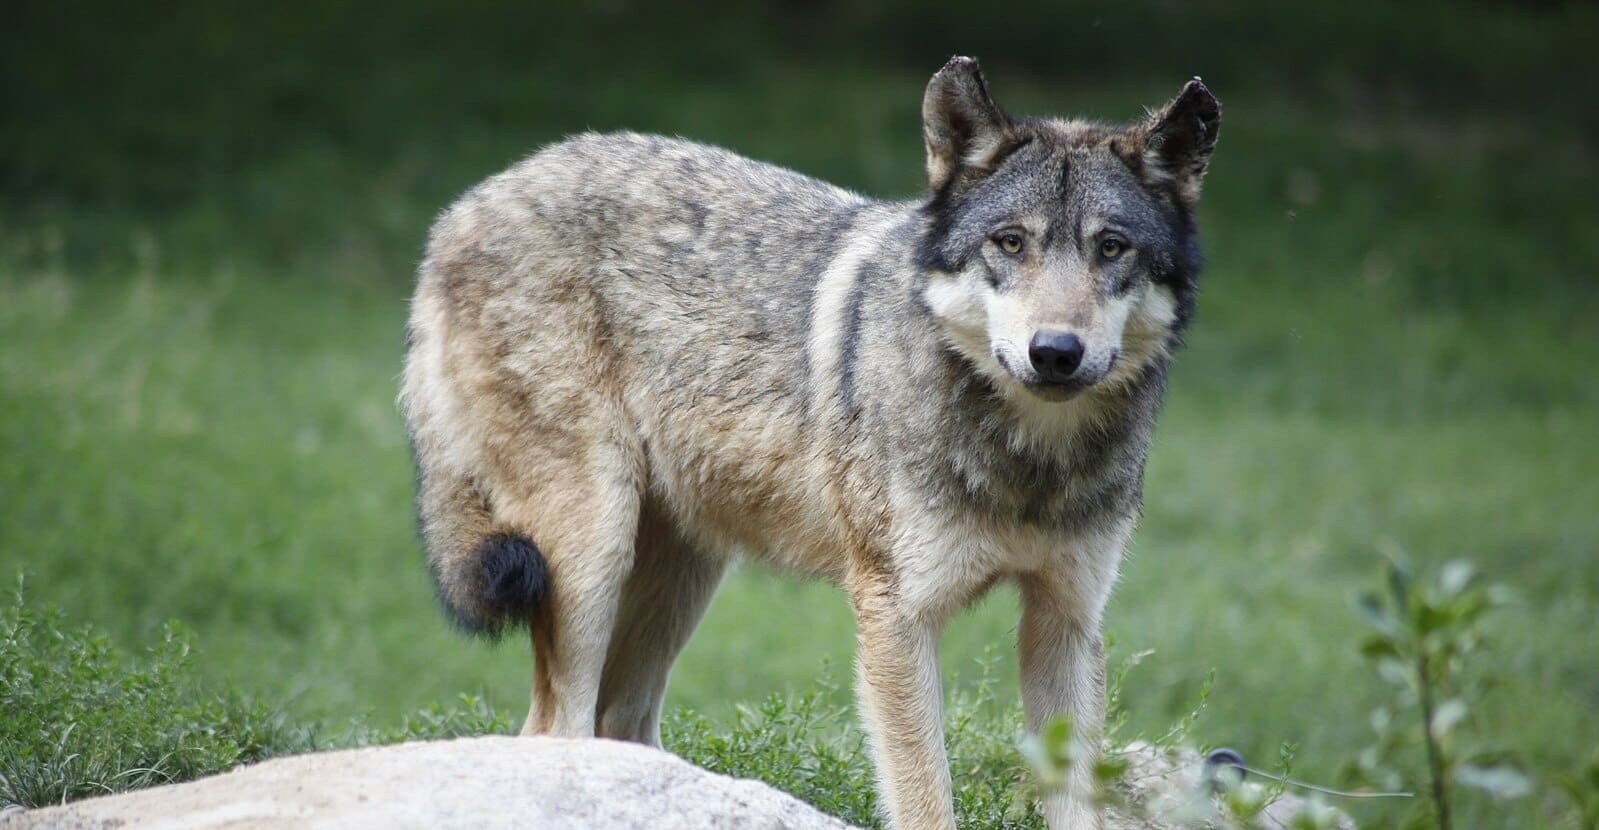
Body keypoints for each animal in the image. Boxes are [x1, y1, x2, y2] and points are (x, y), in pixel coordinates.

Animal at [401, 56, 1219, 829]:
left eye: (1111, 248)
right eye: (1010, 243)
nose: (1054, 352)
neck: (1028, 464)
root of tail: (462, 209)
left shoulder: (1068, 622)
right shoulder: (897, 620)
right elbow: (926, 803)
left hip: (680, 579)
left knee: (619, 725)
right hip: (590, 554)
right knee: (552, 728)